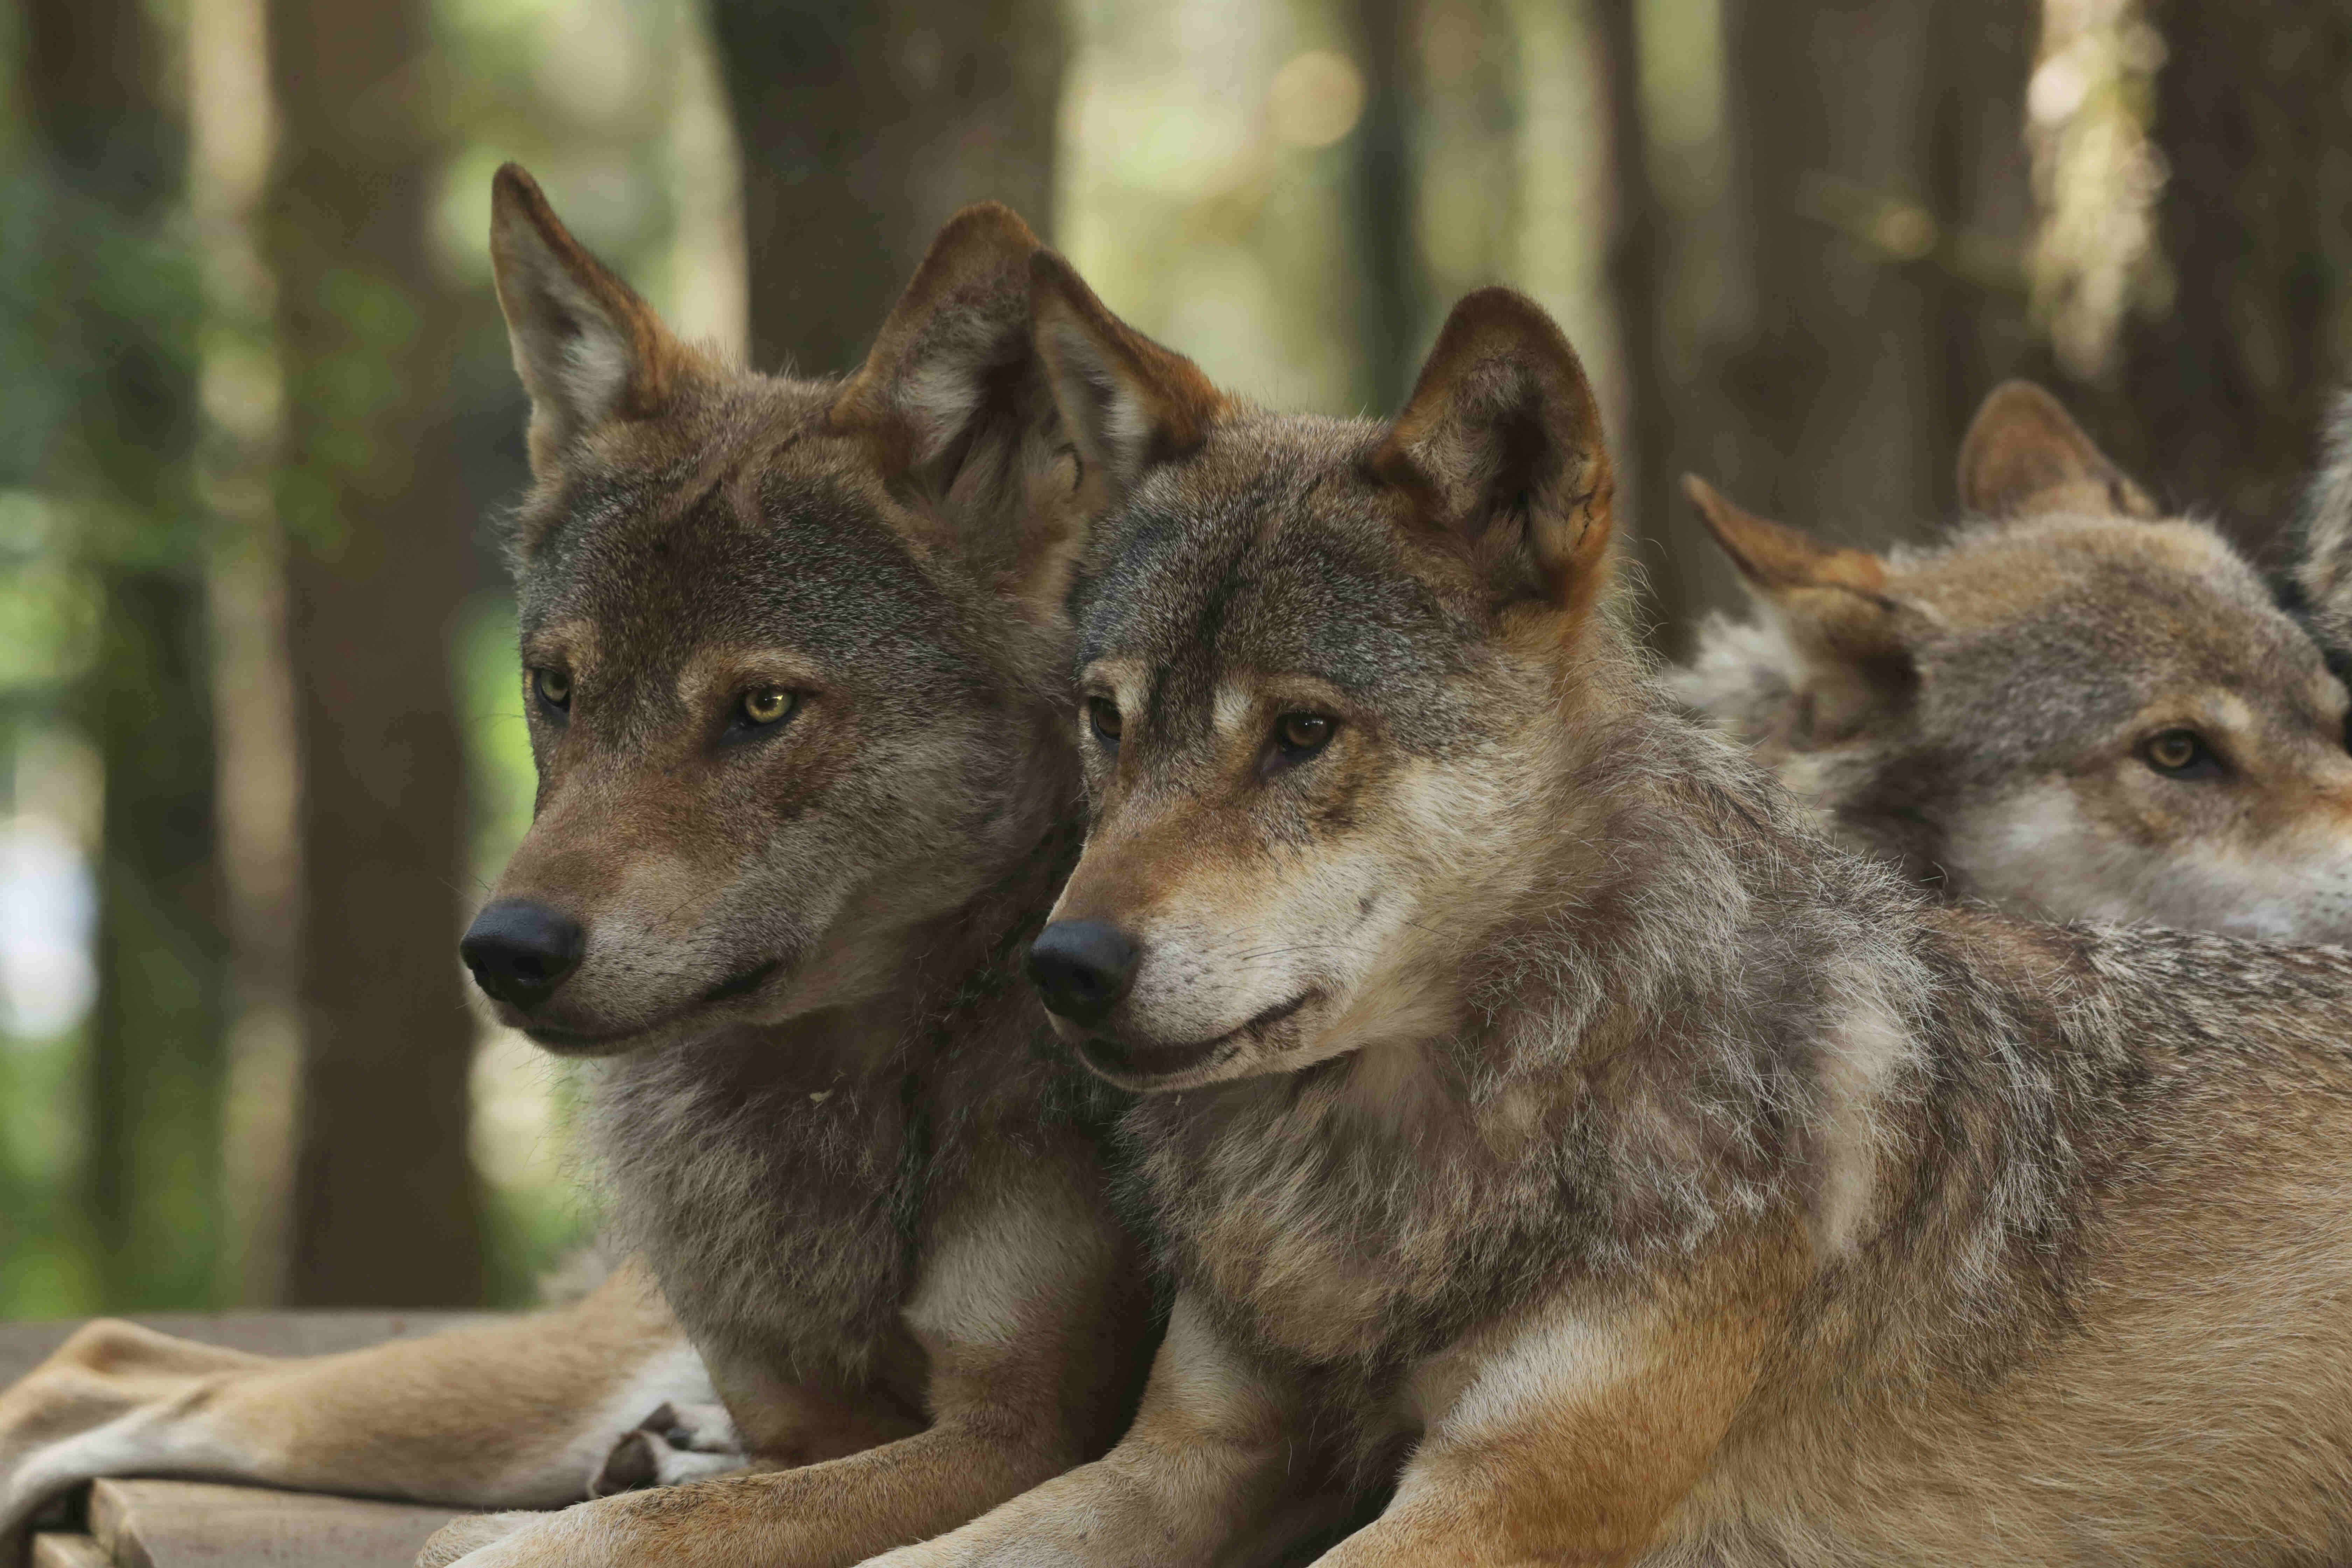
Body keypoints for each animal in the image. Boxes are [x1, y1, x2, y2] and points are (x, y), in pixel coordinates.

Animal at [0, 169, 1155, 1568]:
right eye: (557, 688)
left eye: (762, 706)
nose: (505, 950)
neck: (841, 1080)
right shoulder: (807, 1423)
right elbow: (654, 1519)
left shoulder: (1013, 1436)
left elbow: (618, 1532)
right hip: (518, 1398)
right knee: (110, 1361)